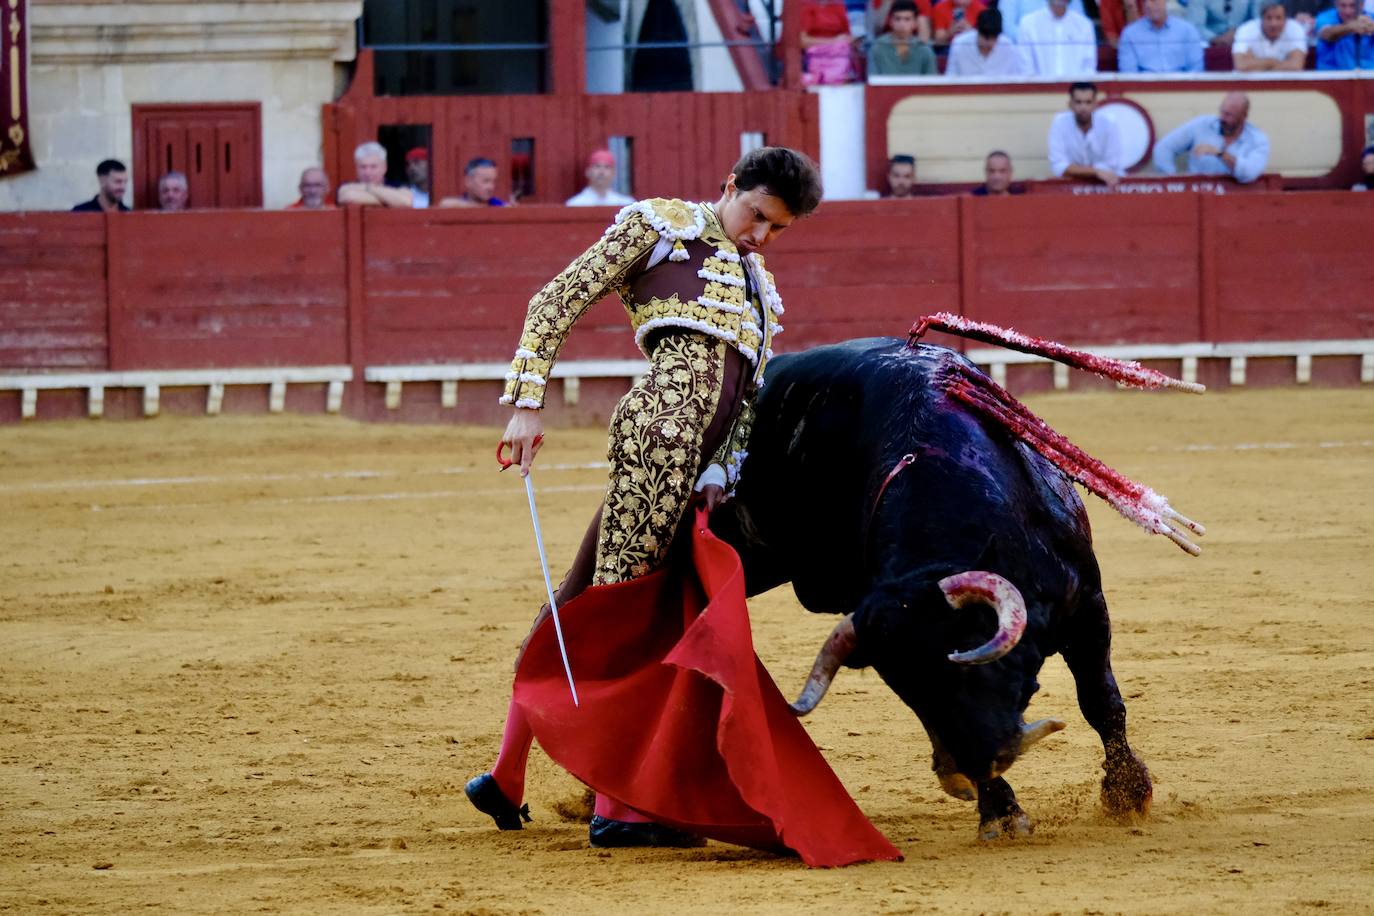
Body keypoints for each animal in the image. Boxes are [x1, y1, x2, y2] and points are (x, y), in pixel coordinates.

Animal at [714, 340, 1154, 840]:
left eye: (968, 663)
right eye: (909, 690)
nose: (981, 759)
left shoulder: (1087, 605)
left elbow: (1100, 700)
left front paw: (1127, 794)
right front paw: (1001, 812)